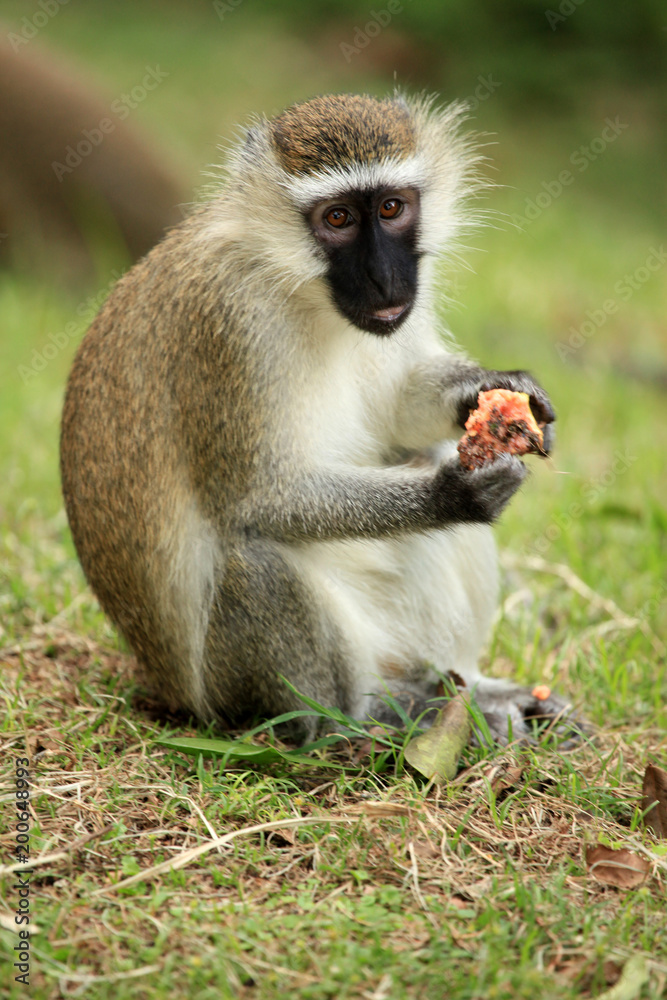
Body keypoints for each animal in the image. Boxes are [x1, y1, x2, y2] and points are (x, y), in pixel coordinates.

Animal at [60, 92, 575, 745]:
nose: (384, 277)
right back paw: (360, 720)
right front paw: (451, 494)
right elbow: (257, 498)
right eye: (337, 219)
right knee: (253, 559)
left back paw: (467, 687)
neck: (298, 289)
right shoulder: (229, 324)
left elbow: (398, 409)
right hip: (229, 690)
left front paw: (497, 392)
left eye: (391, 207)